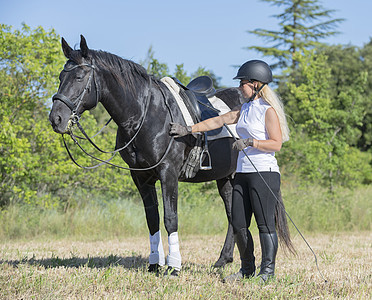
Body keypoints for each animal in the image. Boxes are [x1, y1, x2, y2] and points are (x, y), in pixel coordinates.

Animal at [48, 35, 244, 274]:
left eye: (78, 77)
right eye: (61, 77)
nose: (56, 118)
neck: (146, 114)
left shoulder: (168, 173)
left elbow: (170, 218)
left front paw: (174, 266)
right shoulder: (140, 176)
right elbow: (152, 219)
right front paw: (154, 264)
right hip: (225, 178)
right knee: (232, 214)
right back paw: (223, 260)